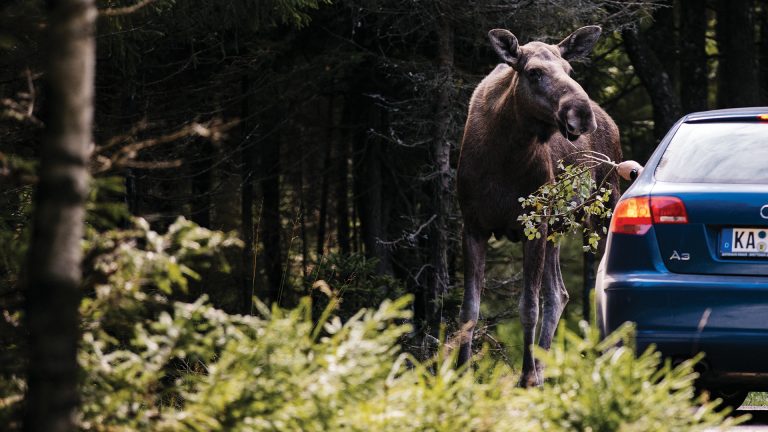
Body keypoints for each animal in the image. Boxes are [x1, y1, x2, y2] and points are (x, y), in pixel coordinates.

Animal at [460, 25, 620, 386]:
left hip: (600, 214)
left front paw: (524, 375)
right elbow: (470, 310)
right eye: (533, 73)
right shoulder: (473, 226)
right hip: (557, 229)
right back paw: (542, 371)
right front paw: (457, 373)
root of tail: (612, 123)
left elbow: (528, 307)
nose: (581, 113)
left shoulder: (534, 222)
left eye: (570, 70)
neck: (503, 153)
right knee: (559, 293)